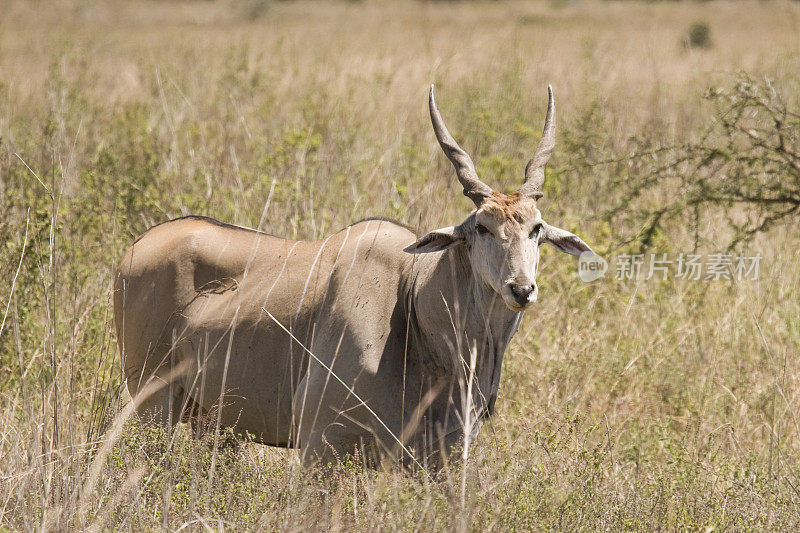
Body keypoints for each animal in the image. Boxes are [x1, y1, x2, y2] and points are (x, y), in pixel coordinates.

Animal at [112, 85, 592, 468]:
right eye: (481, 228)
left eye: (536, 229)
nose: (521, 289)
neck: (413, 306)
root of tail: (138, 246)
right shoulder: (321, 443)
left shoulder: (441, 457)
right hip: (152, 401)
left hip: (207, 419)